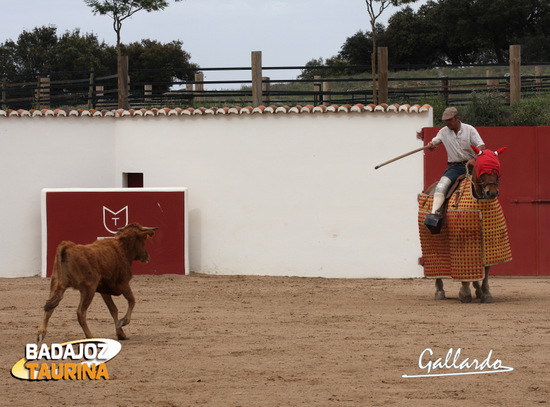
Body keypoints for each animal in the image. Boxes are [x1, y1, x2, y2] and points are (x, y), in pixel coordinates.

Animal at [422, 146, 512, 302]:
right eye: (482, 171)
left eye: (496, 170)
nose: (492, 192)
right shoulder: (461, 240)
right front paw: (464, 293)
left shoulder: (489, 241)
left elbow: (486, 269)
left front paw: (486, 293)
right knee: (436, 261)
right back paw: (439, 291)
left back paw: (478, 290)